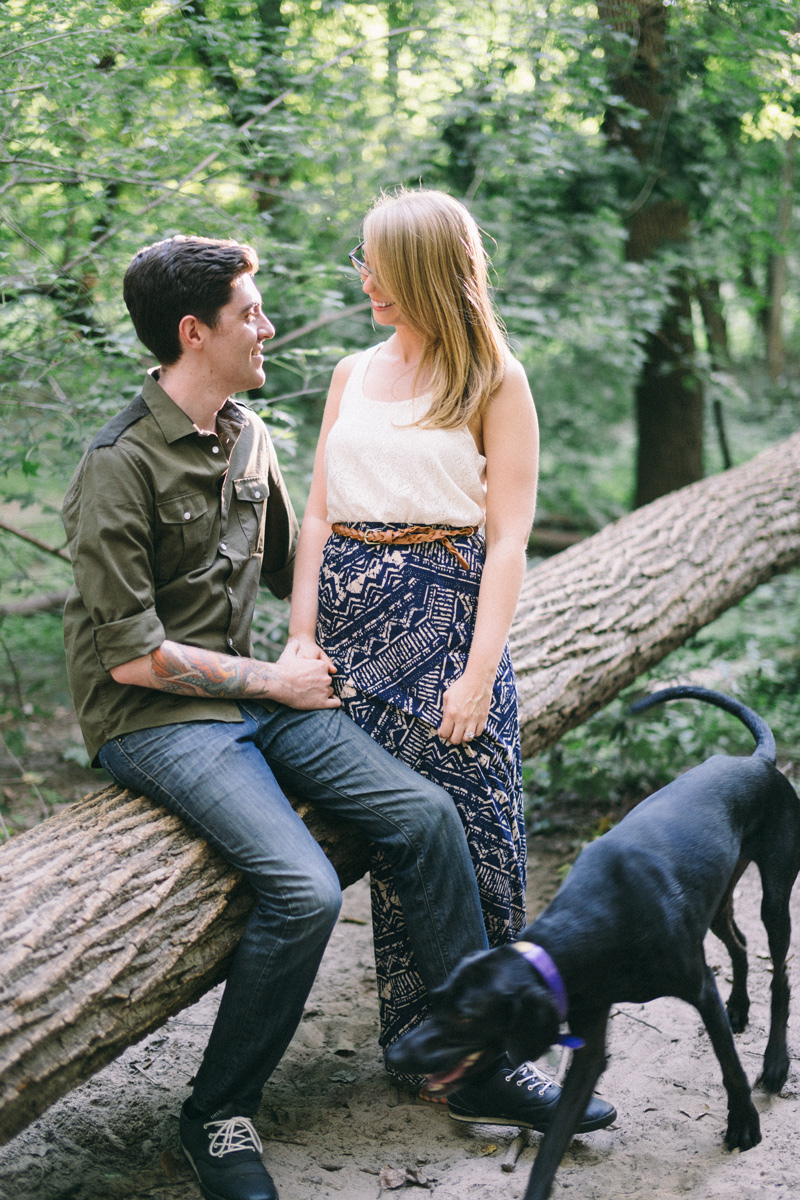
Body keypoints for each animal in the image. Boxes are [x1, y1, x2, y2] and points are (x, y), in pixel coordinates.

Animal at [391, 691, 800, 1200]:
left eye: (466, 1016)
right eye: (439, 998)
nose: (397, 1055)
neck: (588, 929)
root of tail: (758, 760)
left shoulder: (700, 987)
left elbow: (729, 1064)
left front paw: (744, 1124)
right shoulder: (588, 1048)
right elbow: (552, 1144)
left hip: (775, 897)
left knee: (780, 975)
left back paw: (776, 1064)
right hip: (717, 904)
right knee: (741, 944)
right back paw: (740, 1009)